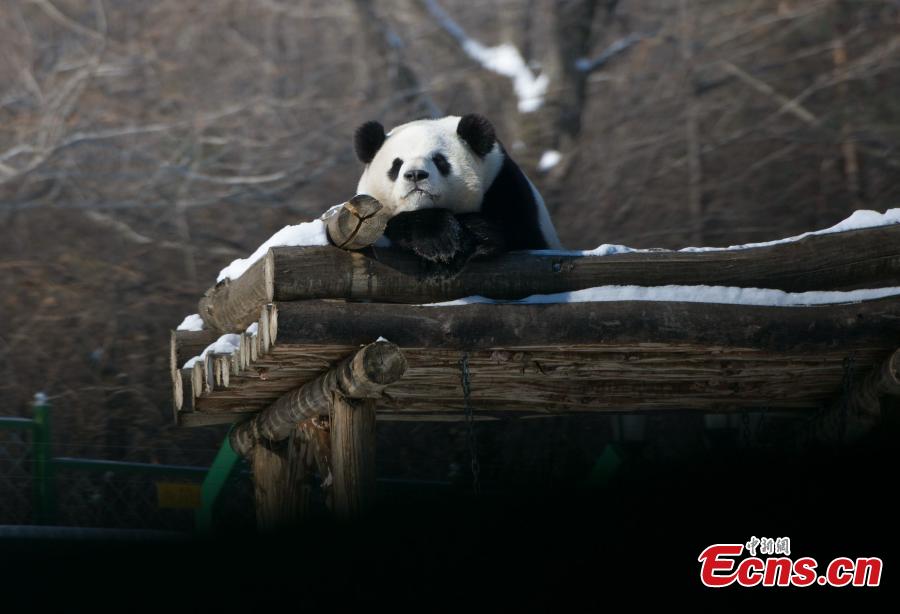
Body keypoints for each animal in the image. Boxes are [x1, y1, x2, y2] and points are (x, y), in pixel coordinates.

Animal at [354, 114, 561, 279]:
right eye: (397, 164)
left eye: (439, 160)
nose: (415, 175)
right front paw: (437, 241)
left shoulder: (503, 184)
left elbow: (516, 235)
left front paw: (450, 250)